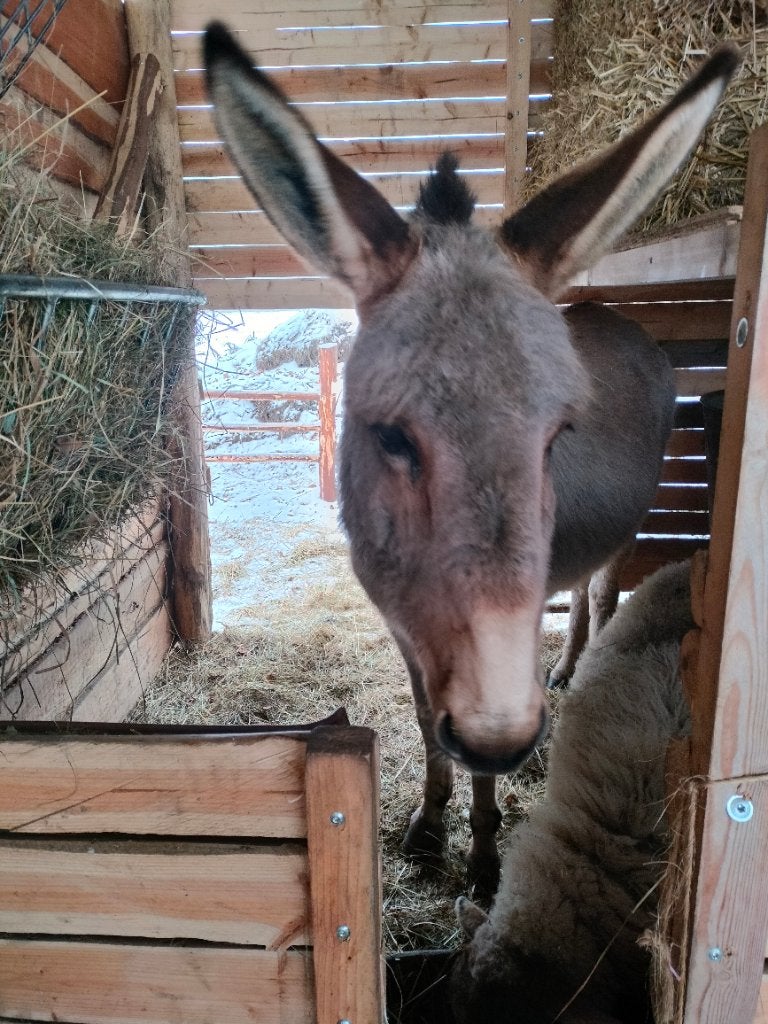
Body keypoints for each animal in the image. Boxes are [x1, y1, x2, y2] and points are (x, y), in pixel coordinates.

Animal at [203, 24, 738, 896]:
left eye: (558, 435)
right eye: (390, 437)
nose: (505, 732)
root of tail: (620, 319)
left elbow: (482, 759)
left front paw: (483, 858)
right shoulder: (405, 626)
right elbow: (428, 721)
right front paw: (428, 826)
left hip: (630, 522)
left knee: (598, 590)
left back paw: (577, 669)